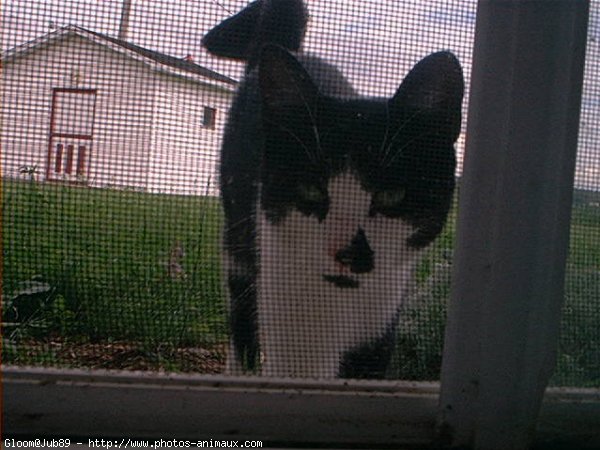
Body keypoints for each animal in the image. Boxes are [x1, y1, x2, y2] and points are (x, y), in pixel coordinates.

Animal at [202, 0, 464, 380]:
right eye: (311, 189)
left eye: (391, 195)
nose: (346, 250)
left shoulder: (379, 326)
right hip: (240, 236)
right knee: (241, 311)